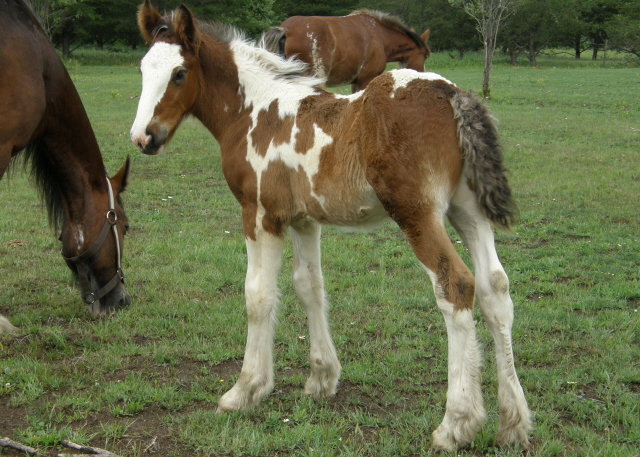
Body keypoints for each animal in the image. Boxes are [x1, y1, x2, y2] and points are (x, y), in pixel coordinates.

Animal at [262, 10, 432, 91]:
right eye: (424, 56)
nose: (422, 75)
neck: (380, 35)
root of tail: (286, 29)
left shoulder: (356, 82)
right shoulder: (366, 79)